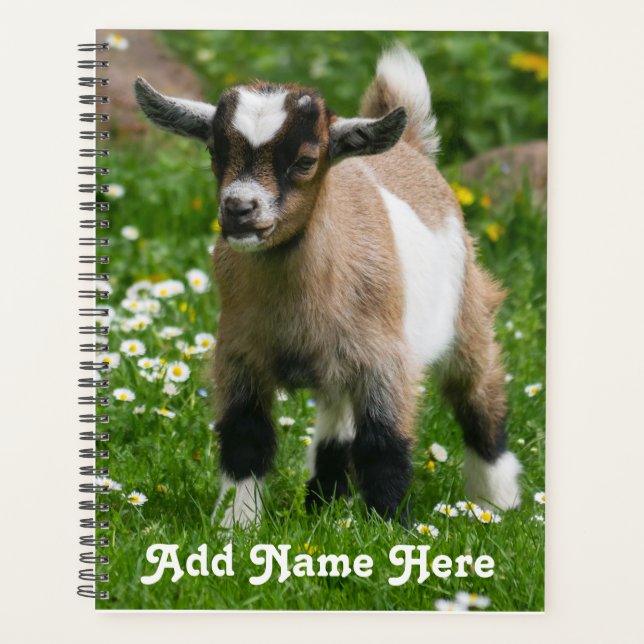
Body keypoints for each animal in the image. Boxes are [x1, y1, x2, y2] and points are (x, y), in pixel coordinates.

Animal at [135, 45, 521, 528]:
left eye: (304, 160)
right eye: (213, 152)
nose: (239, 209)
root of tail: (410, 148)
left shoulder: (385, 360)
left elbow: (384, 443)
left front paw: (389, 527)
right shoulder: (238, 354)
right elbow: (246, 438)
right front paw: (235, 526)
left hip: (466, 312)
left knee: (478, 395)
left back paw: (496, 502)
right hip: (337, 365)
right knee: (336, 422)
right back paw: (325, 502)